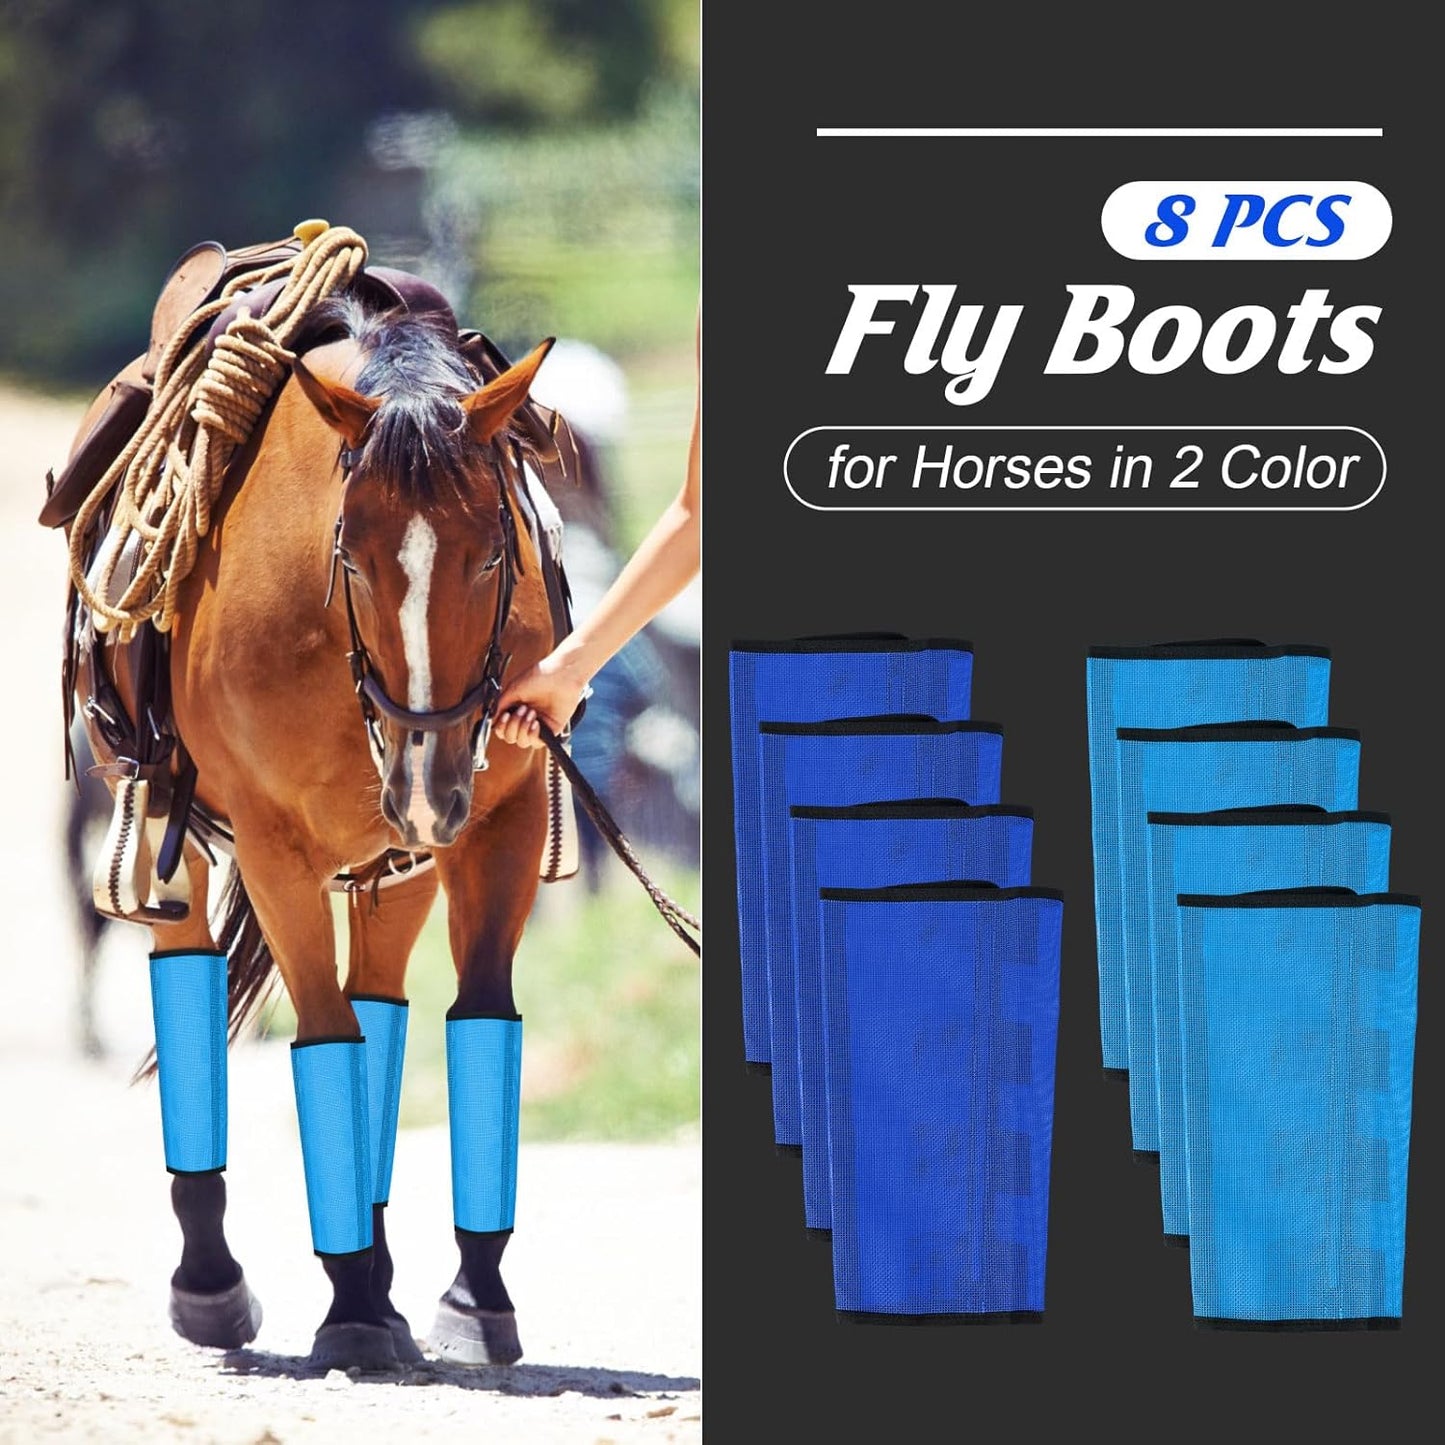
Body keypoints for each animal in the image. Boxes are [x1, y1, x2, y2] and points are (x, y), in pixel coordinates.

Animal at [65, 291, 560, 1370]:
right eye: (353, 558)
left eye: (492, 551)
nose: (424, 776)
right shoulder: (273, 849)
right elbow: (324, 1037)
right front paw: (354, 1305)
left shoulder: (495, 821)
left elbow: (478, 1017)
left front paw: (470, 1292)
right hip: (169, 829)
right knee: (194, 973)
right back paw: (213, 1281)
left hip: (398, 864)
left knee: (381, 1002)